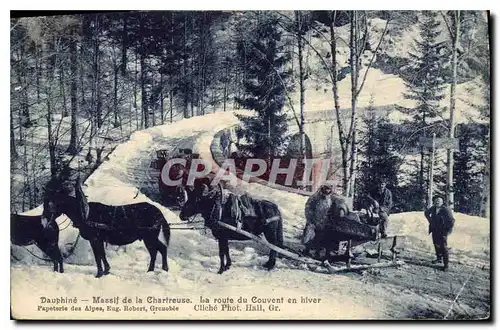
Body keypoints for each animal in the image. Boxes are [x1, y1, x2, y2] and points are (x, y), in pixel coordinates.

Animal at [43, 179, 172, 278]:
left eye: (48, 205)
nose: (43, 221)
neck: (84, 213)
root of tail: (158, 211)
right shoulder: (99, 240)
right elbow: (102, 255)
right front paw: (106, 270)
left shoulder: (94, 239)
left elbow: (98, 256)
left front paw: (99, 274)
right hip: (148, 238)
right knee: (157, 251)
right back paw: (153, 270)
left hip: (150, 236)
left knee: (160, 250)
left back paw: (161, 269)